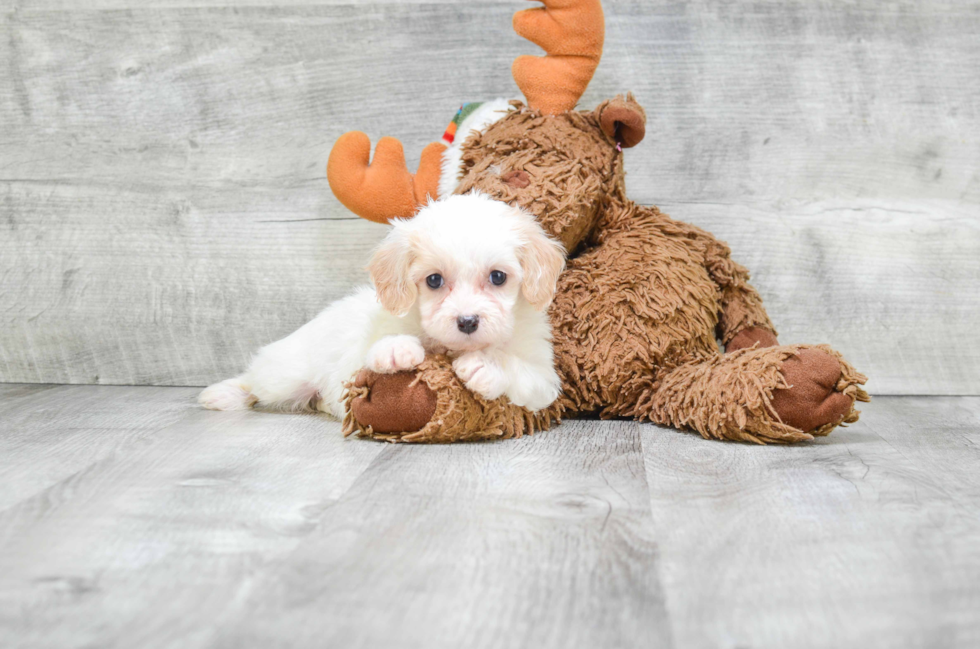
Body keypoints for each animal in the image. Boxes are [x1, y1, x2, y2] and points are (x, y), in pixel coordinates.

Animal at [199, 190, 568, 418]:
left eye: (498, 277)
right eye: (434, 280)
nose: (467, 321)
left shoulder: (545, 381)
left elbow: (522, 371)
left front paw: (486, 366)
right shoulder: (356, 355)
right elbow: (373, 348)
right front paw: (395, 349)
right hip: (286, 374)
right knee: (255, 379)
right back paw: (223, 393)